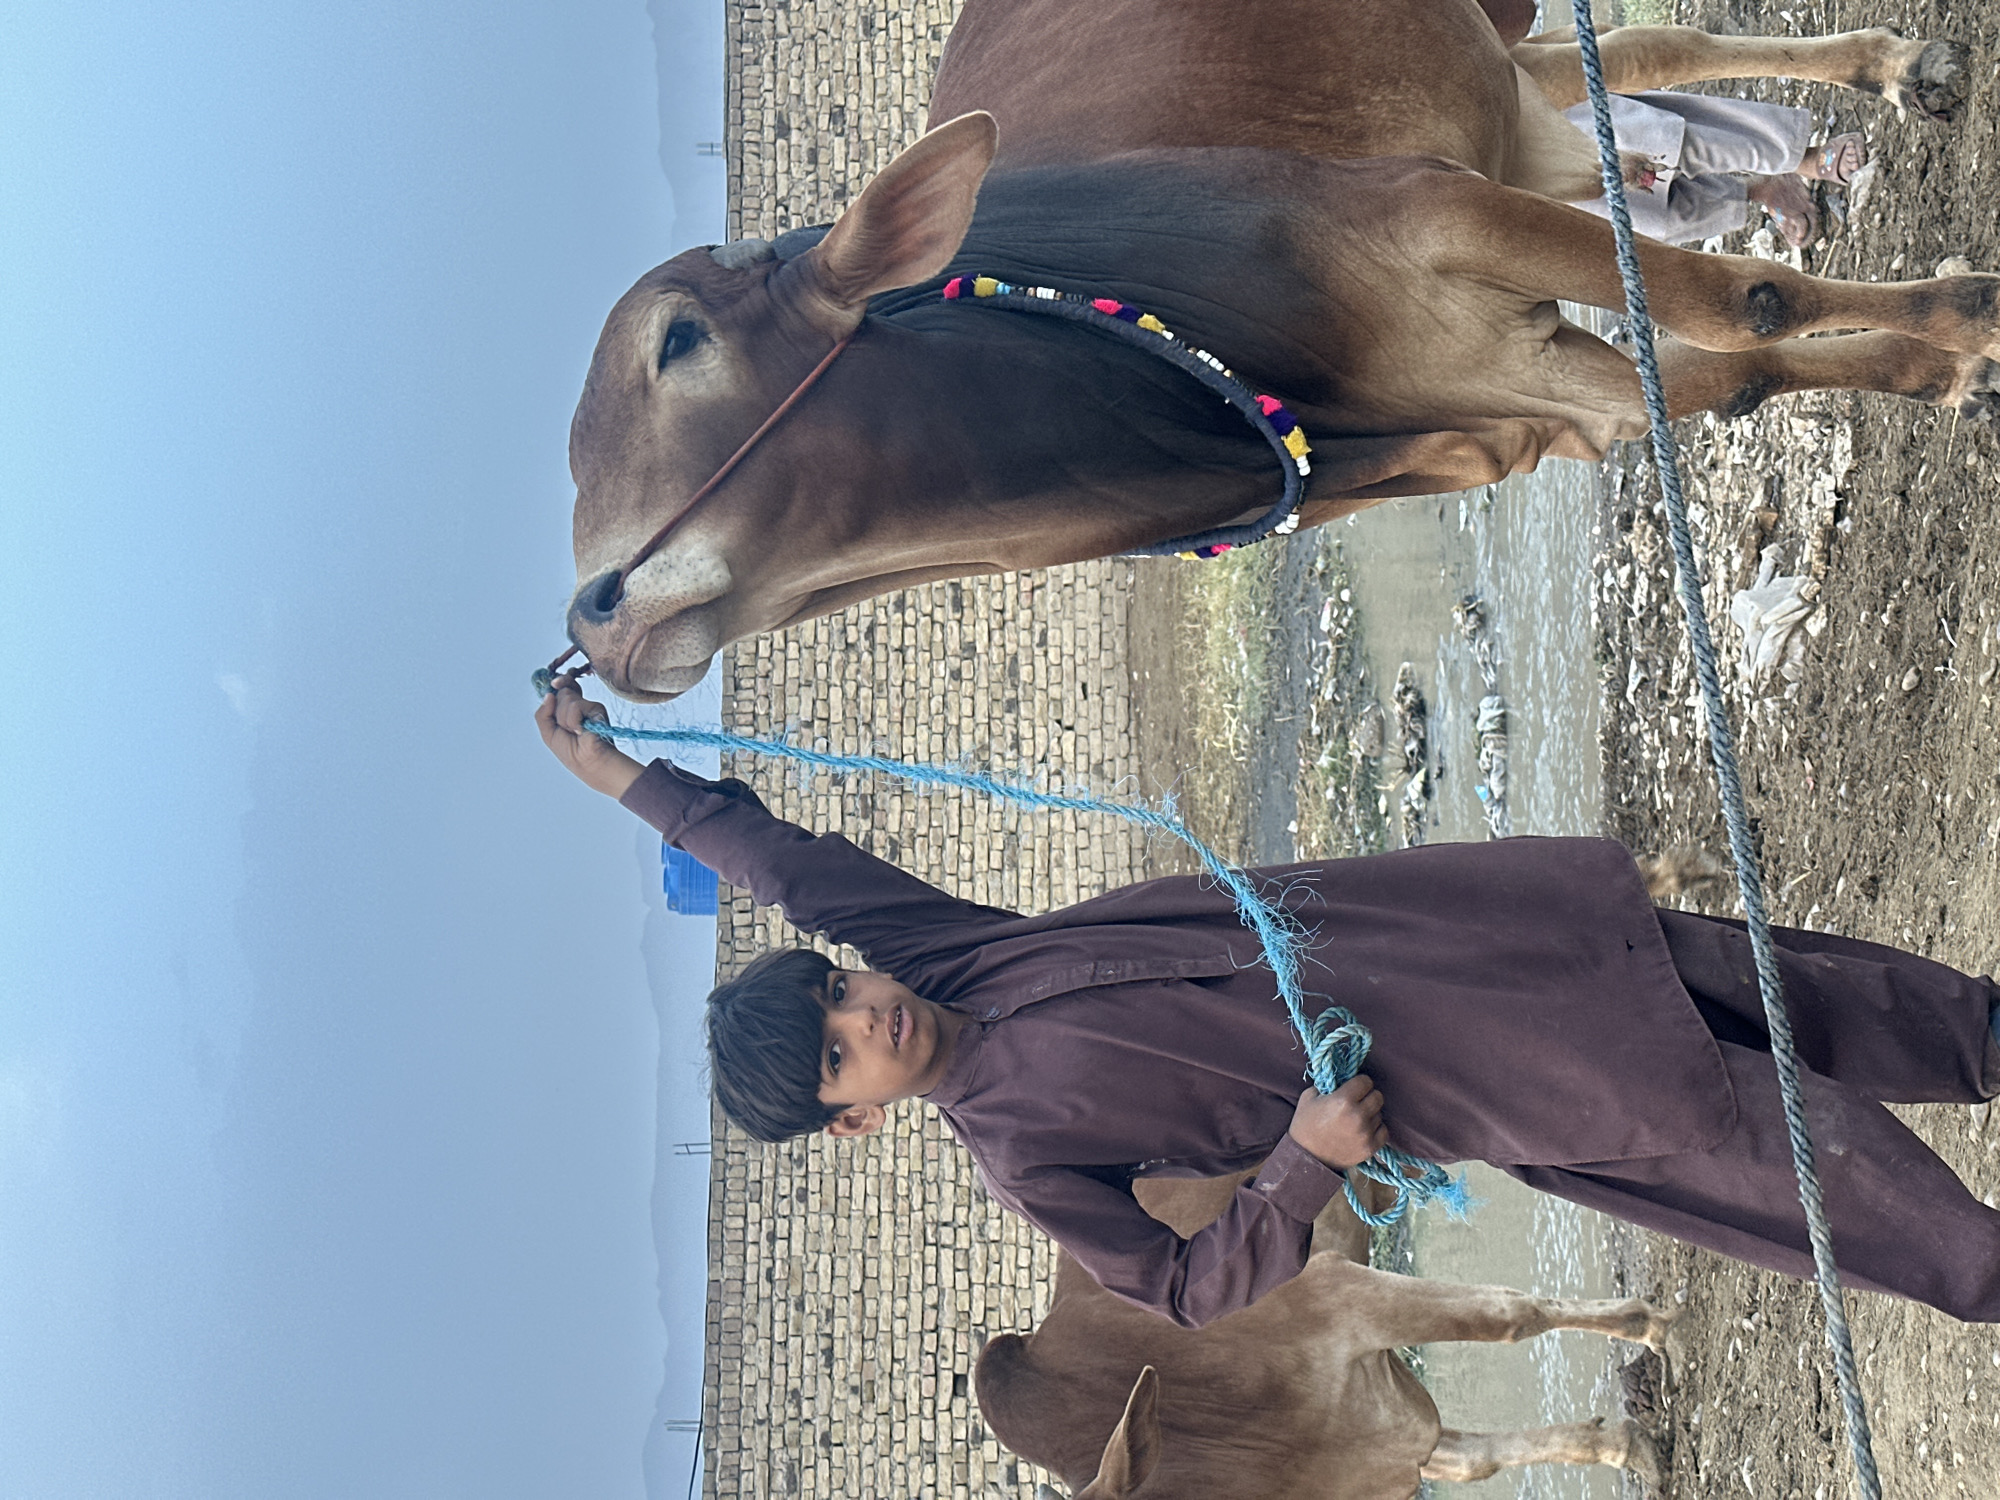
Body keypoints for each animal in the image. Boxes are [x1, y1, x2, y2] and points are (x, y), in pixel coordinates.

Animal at [563, 0, 1984, 701]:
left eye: (678, 340)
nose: (598, 620)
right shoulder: (1535, 393)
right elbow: (1735, 360)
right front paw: (1928, 366)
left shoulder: (1438, 217)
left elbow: (1743, 300)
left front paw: (1963, 313)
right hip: (1507, 99)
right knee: (1637, 50)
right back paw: (1891, 66)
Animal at [975, 1171, 1682, 1497]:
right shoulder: (1387, 1432)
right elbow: (1482, 1458)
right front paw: (1629, 1446)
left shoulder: (1339, 1297)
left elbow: (1512, 1315)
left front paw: (1649, 1326)